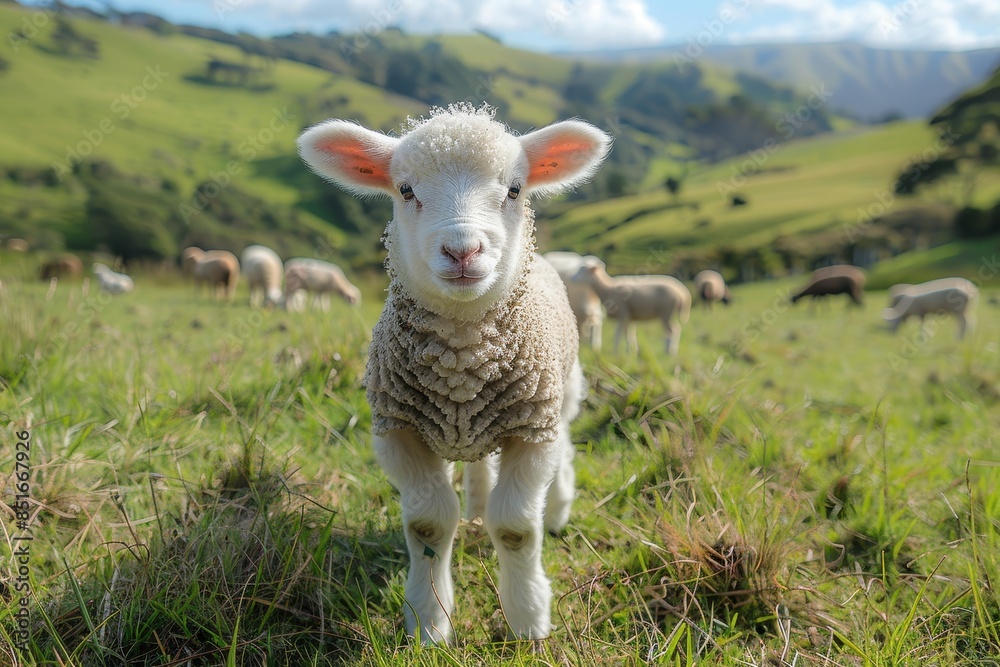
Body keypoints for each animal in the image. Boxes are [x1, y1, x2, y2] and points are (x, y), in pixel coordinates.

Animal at [298, 103, 611, 644]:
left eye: (514, 189)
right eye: (405, 189)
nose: (462, 251)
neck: (463, 362)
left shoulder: (531, 430)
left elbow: (516, 529)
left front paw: (528, 621)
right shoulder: (400, 429)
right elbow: (428, 525)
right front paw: (429, 623)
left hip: (559, 394)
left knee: (565, 444)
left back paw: (558, 507)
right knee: (479, 465)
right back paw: (478, 504)